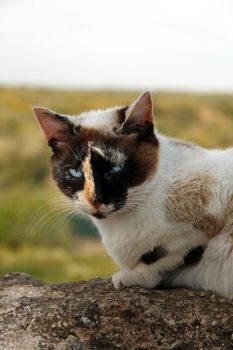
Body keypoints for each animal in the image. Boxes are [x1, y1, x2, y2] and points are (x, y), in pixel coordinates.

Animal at [34, 91, 233, 300]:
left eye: (116, 168)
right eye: (75, 172)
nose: (95, 200)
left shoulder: (208, 212)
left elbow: (159, 256)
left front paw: (131, 277)